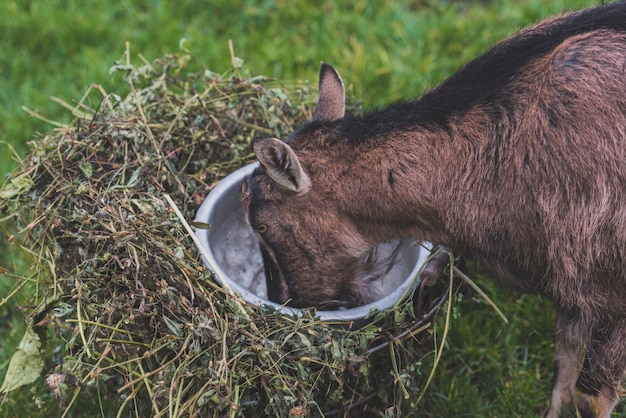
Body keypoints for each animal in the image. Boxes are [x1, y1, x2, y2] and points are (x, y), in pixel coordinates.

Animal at [240, 2, 626, 414]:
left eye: (261, 226)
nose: (287, 303)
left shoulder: (609, 293)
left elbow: (589, 397)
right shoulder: (573, 291)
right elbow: (563, 371)